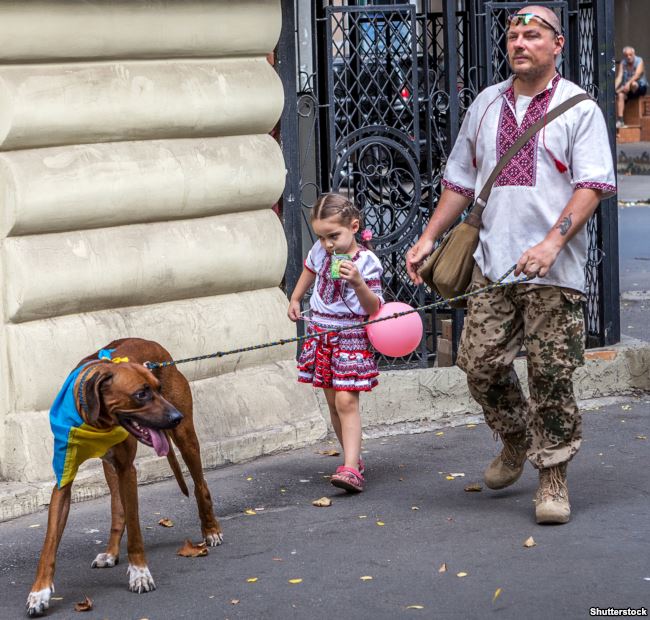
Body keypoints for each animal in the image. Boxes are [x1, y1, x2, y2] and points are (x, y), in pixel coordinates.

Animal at [26, 336, 223, 616]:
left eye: (158, 389)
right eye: (141, 394)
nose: (176, 416)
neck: (97, 422)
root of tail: (156, 346)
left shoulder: (128, 470)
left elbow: (136, 528)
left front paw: (140, 573)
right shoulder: (64, 478)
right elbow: (50, 542)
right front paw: (39, 592)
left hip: (185, 438)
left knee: (200, 485)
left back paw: (211, 530)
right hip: (111, 466)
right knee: (117, 510)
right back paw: (110, 553)